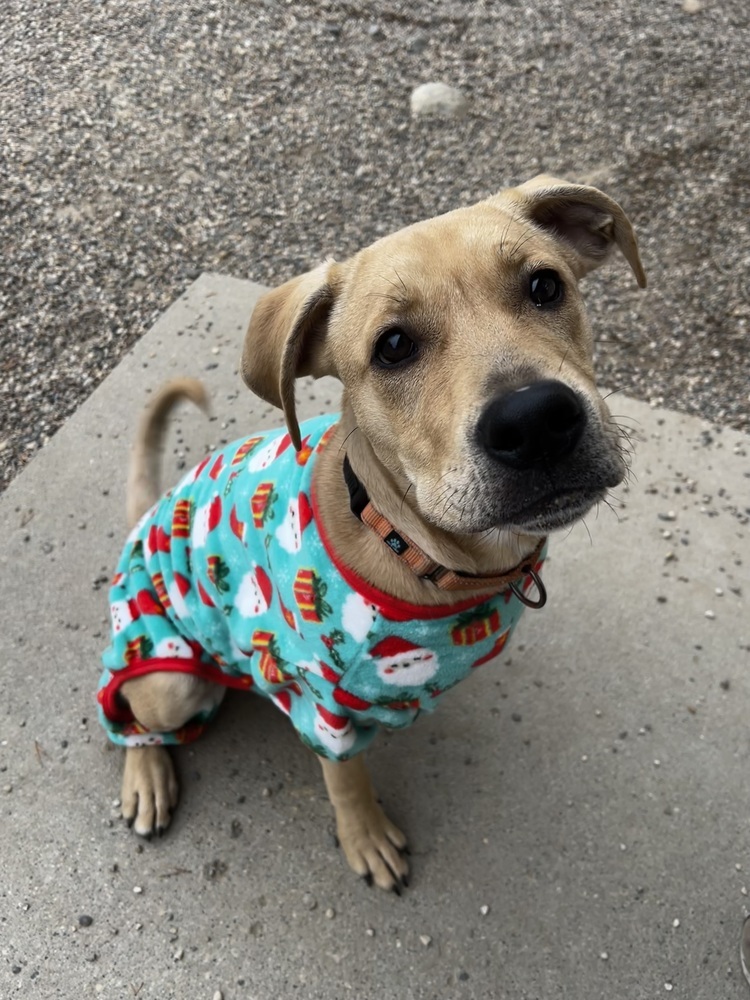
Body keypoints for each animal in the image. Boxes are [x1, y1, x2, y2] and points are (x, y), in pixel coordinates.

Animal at [98, 178, 648, 892]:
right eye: (392, 346)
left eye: (545, 286)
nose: (536, 421)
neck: (409, 546)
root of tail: (145, 518)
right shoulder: (322, 709)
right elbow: (347, 779)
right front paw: (364, 836)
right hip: (166, 676)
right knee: (132, 716)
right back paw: (146, 773)